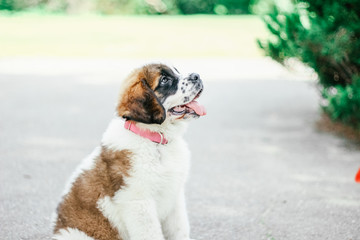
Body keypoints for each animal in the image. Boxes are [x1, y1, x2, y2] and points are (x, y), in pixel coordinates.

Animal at [52, 63, 207, 240]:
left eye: (177, 71)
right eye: (164, 80)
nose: (196, 75)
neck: (156, 141)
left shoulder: (175, 197)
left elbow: (180, 229)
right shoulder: (138, 201)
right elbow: (151, 234)